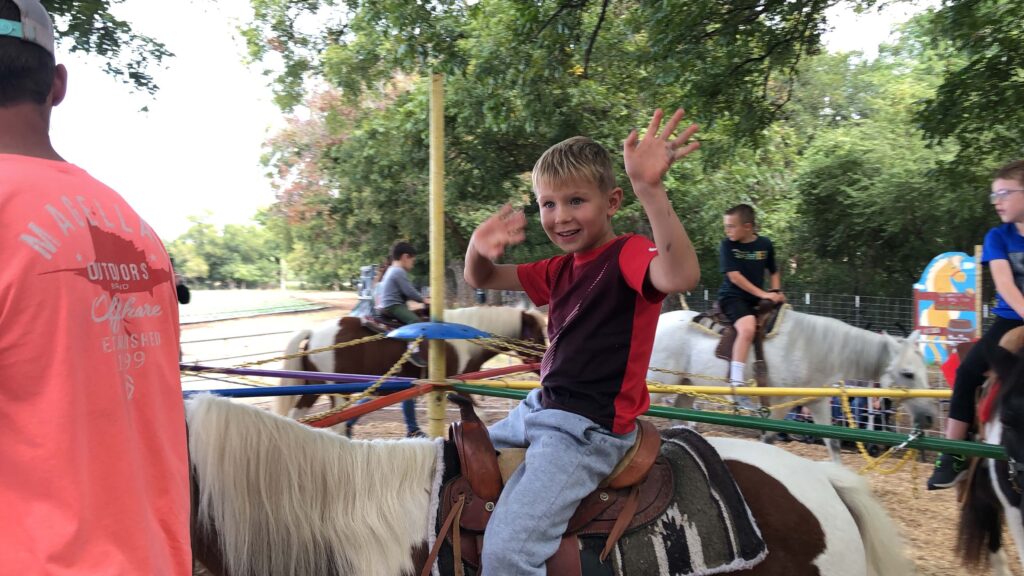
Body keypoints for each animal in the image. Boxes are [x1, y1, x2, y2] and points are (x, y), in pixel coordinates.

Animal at [270, 305, 544, 416]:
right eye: (535, 335)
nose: (543, 362)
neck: (463, 338)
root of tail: (314, 333)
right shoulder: (457, 386)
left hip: (314, 389)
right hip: (338, 393)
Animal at [647, 307, 937, 459]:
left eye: (924, 370)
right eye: (908, 374)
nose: (930, 416)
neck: (812, 346)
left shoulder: (818, 402)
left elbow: (832, 444)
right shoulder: (780, 404)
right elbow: (768, 439)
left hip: (685, 387)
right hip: (656, 386)